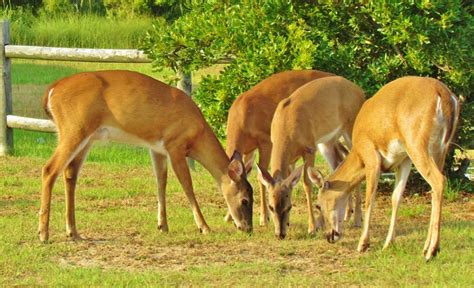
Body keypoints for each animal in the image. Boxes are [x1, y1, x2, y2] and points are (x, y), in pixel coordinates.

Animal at [39, 70, 254, 243]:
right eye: (245, 200)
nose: (248, 229)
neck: (196, 134)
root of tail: (51, 90)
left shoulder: (157, 149)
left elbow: (161, 182)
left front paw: (163, 226)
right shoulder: (175, 145)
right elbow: (187, 186)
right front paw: (204, 227)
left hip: (86, 137)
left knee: (70, 173)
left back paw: (73, 232)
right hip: (74, 129)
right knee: (49, 169)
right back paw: (43, 234)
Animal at [225, 69, 334, 225]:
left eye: (244, 199)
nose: (240, 222)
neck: (242, 118)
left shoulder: (265, 142)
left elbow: (260, 177)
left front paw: (264, 218)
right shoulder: (247, 151)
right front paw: (228, 217)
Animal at [256, 76, 366, 238]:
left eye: (289, 207)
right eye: (271, 207)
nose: (280, 234)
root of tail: (359, 90)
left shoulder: (309, 149)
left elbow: (307, 184)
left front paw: (312, 227)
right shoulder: (292, 159)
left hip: (350, 130)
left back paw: (357, 219)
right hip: (328, 141)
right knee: (338, 164)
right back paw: (346, 215)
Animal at [308, 75, 460, 260]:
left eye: (318, 205)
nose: (329, 236)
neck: (358, 154)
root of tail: (445, 95)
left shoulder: (371, 155)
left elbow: (370, 199)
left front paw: (363, 244)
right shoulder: (403, 160)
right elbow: (396, 198)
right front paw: (388, 244)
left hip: (417, 143)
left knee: (439, 181)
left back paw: (432, 250)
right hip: (440, 149)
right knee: (434, 188)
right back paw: (426, 248)